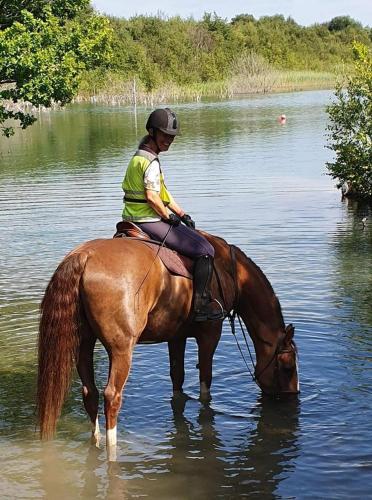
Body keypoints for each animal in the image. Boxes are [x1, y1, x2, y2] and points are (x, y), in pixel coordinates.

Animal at [37, 230, 300, 458]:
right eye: (287, 367)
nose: (292, 398)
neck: (231, 271)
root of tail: (84, 256)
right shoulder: (210, 335)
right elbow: (205, 383)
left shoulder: (176, 337)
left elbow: (177, 379)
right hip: (121, 349)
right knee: (112, 396)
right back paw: (113, 448)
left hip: (83, 344)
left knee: (89, 393)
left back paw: (96, 439)